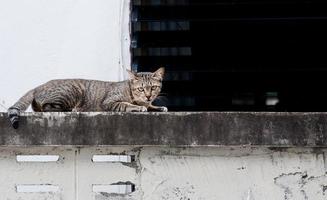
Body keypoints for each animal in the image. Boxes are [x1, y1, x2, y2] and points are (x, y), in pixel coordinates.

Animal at [7, 68, 169, 129]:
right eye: (141, 89)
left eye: (153, 88)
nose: (148, 96)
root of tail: (39, 86)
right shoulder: (109, 103)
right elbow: (126, 104)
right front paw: (138, 106)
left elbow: (151, 107)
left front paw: (157, 107)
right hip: (71, 91)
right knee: (47, 108)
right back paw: (71, 110)